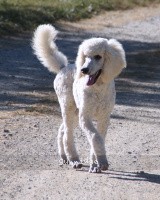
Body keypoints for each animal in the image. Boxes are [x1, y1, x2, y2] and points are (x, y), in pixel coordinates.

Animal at [31, 24, 126, 172]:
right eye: (85, 56)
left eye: (98, 56)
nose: (84, 70)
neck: (97, 89)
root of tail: (63, 68)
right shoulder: (85, 117)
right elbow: (95, 137)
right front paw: (101, 162)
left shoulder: (104, 118)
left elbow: (98, 138)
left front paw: (96, 164)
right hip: (68, 108)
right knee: (67, 134)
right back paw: (74, 160)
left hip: (75, 112)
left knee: (62, 130)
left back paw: (64, 156)